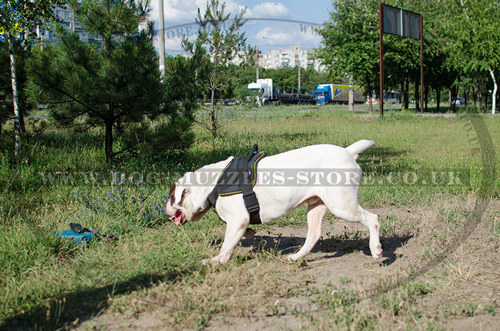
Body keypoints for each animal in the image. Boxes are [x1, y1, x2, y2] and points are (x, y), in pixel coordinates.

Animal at [166, 141, 380, 266]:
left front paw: (216, 261)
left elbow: (226, 246)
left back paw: (376, 250)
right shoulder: (238, 224)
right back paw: (295, 257)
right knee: (313, 235)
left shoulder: (238, 220)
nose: (165, 207)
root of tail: (347, 151)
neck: (213, 184)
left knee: (373, 219)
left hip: (342, 206)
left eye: (170, 195)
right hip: (316, 207)